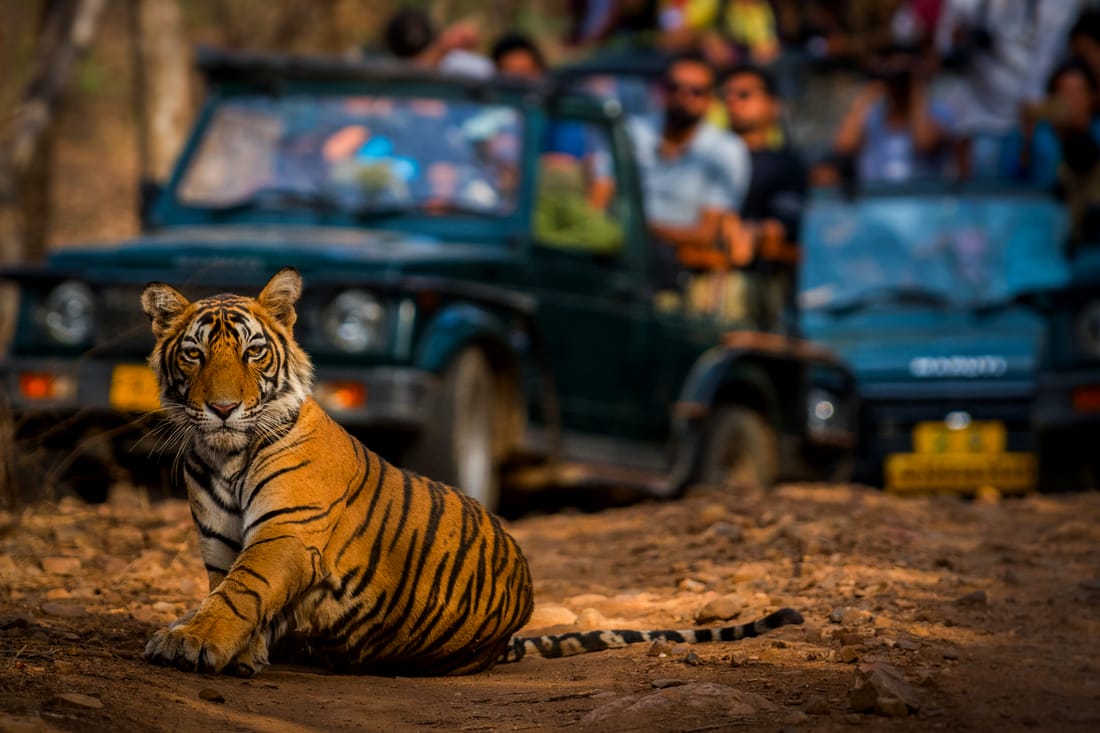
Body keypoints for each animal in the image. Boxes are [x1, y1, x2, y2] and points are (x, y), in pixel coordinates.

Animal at [139, 267, 804, 677]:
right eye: (194, 353)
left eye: (254, 352)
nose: (223, 408)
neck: (224, 455)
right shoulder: (221, 543)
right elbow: (227, 592)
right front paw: (233, 650)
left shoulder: (287, 533)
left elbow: (239, 593)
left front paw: (190, 642)